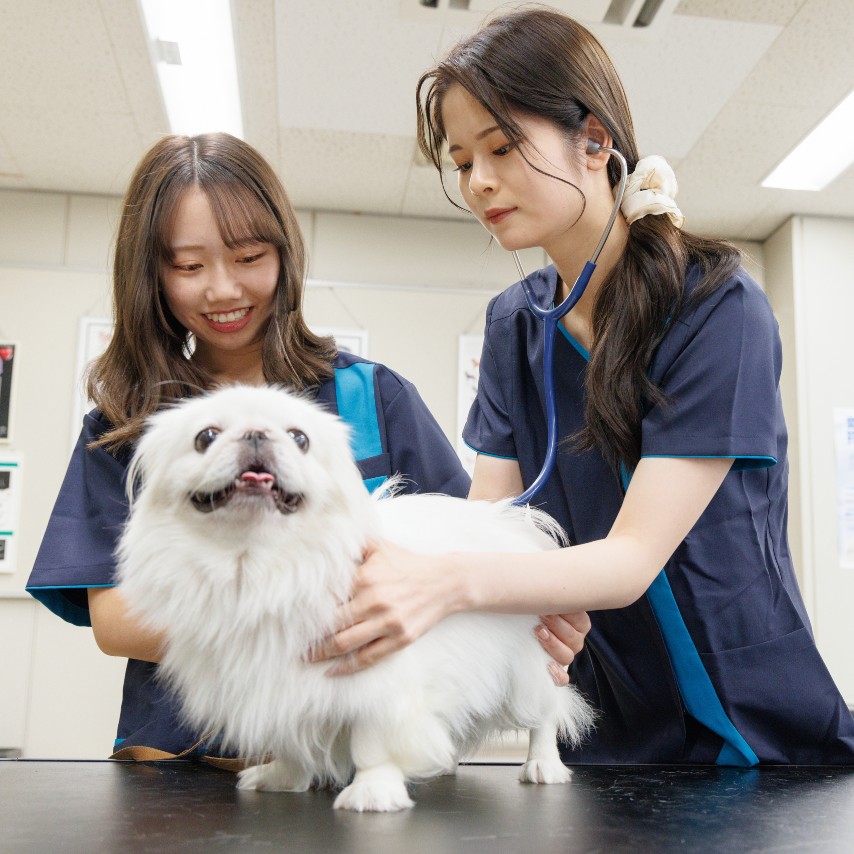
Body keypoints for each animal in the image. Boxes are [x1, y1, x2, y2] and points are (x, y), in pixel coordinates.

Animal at [115, 384, 596, 812]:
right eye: (206, 437)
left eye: (300, 438)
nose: (255, 433)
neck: (256, 566)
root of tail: (512, 524)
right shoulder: (275, 687)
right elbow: (290, 744)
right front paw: (283, 777)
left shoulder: (379, 681)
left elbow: (373, 744)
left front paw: (373, 793)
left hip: (526, 671)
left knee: (545, 716)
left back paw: (542, 767)